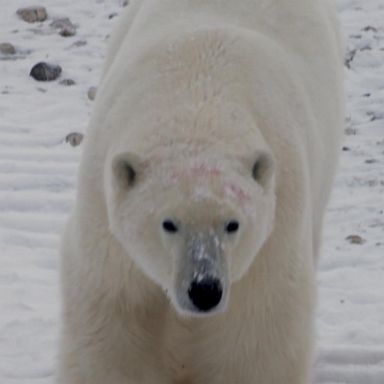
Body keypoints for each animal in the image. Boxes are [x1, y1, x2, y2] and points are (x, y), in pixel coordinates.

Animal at [58, 0, 344, 384]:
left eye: (232, 224)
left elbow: (257, 336)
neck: (199, 101)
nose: (204, 289)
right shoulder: (104, 223)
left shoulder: (275, 231)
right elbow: (114, 320)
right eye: (168, 223)